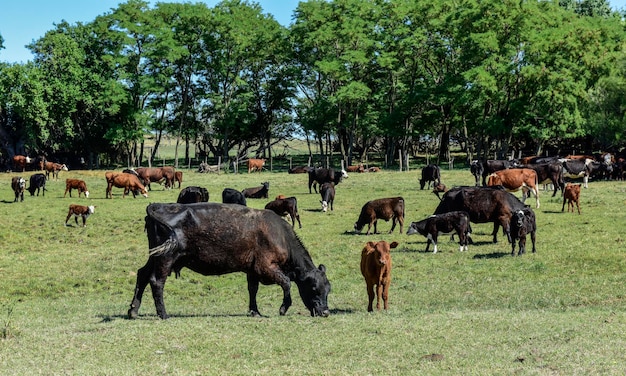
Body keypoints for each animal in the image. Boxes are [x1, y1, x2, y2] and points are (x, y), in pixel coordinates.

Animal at [127, 204, 332, 318]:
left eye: (328, 290)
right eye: (314, 288)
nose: (326, 312)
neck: (279, 235)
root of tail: (158, 206)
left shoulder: (252, 270)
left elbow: (252, 289)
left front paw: (254, 311)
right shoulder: (266, 266)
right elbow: (287, 283)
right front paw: (282, 309)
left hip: (155, 256)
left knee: (142, 275)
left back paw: (133, 311)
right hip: (166, 258)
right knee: (156, 281)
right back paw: (163, 314)